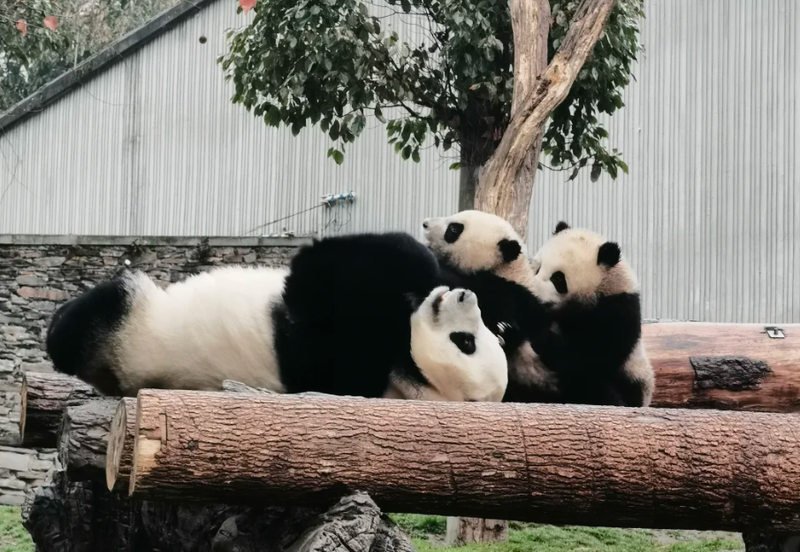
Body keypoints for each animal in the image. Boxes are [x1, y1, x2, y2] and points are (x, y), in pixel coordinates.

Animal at [44, 232, 509, 403]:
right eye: (480, 337)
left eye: (464, 343)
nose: (464, 297)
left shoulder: (333, 357)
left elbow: (318, 281)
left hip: (133, 326)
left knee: (94, 313)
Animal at [527, 221, 654, 407]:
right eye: (537, 269)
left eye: (558, 278)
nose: (533, 292)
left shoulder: (616, 312)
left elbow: (587, 358)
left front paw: (543, 337)